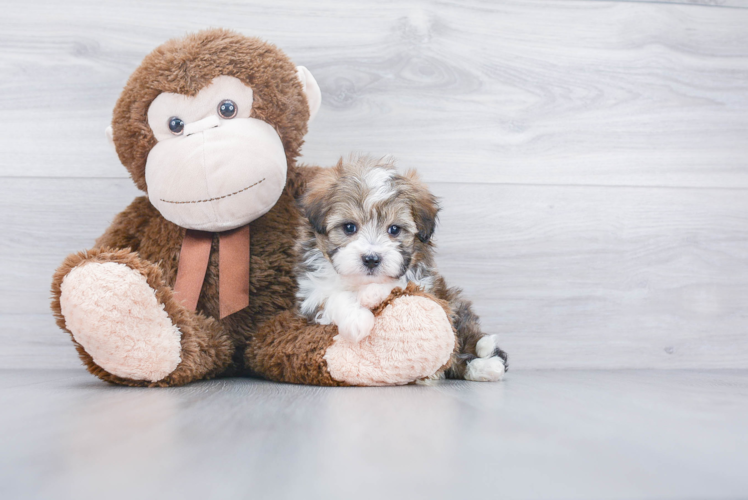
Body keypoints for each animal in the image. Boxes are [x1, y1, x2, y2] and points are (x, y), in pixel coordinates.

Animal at [296, 154, 512, 380]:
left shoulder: (423, 282)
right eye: (349, 227)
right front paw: (356, 320)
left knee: (459, 345)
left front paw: (373, 293)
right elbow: (332, 297)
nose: (371, 259)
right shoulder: (311, 292)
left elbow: (398, 286)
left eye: (394, 229)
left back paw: (485, 365)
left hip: (454, 303)